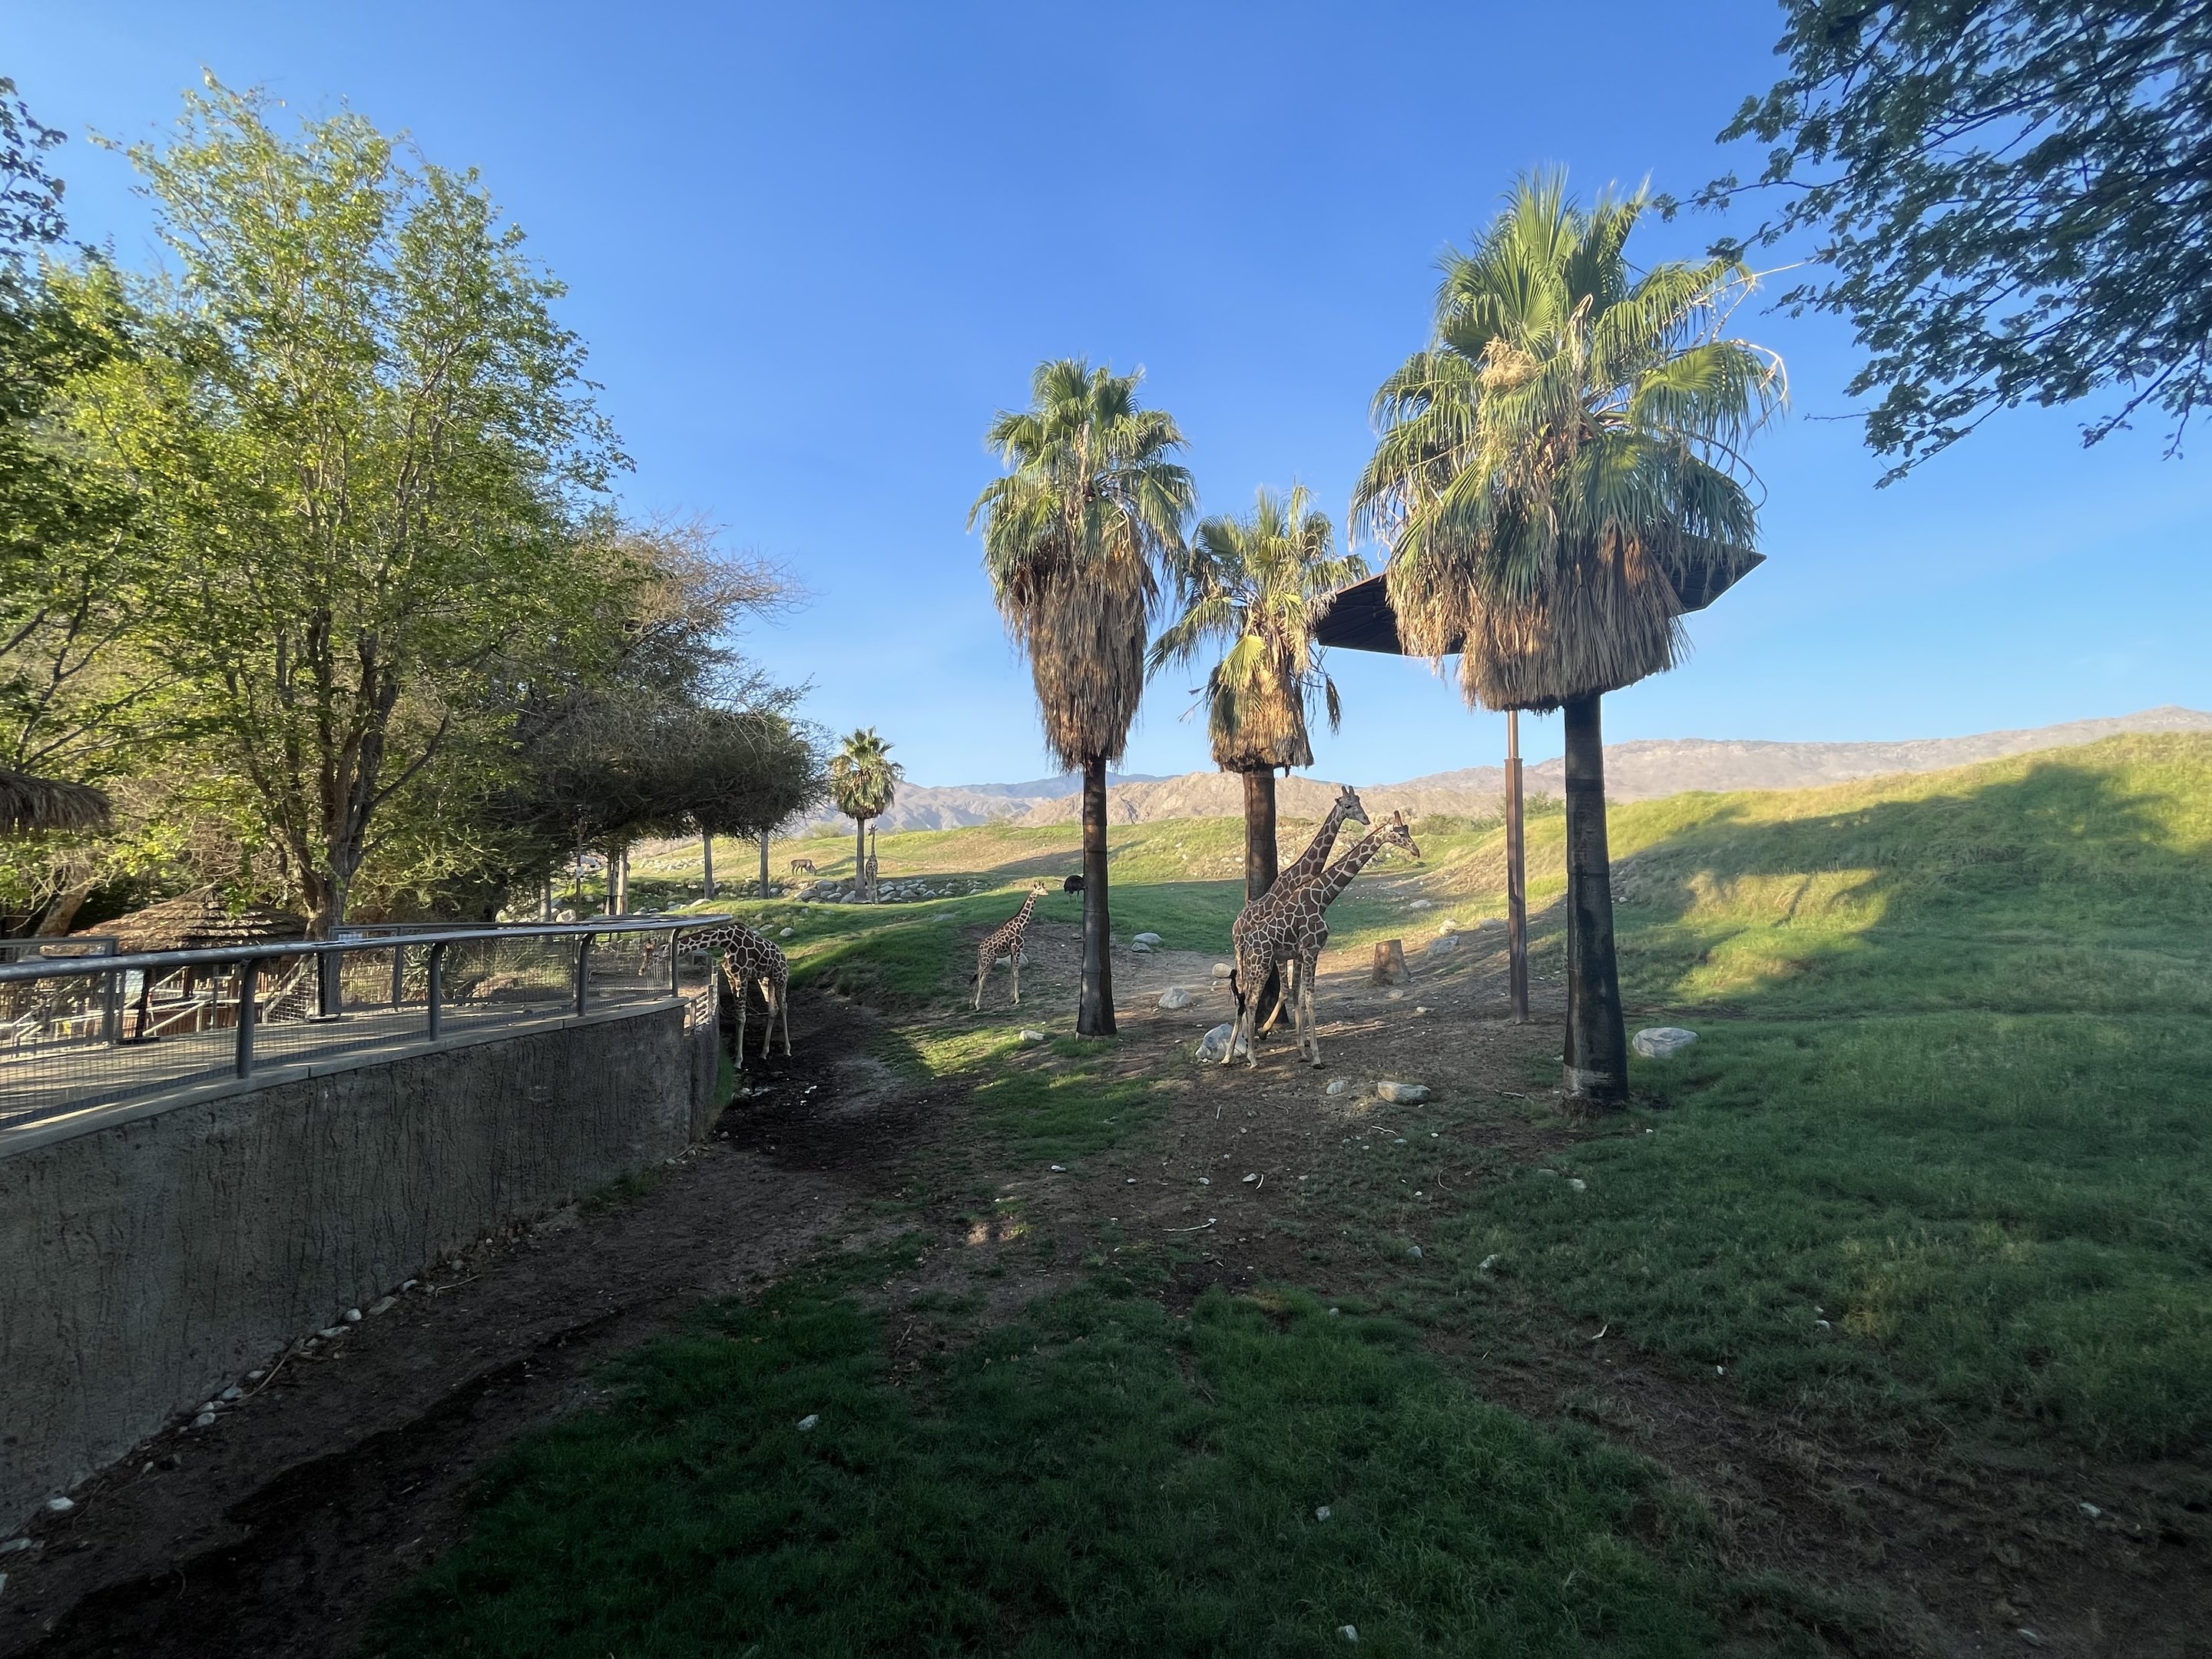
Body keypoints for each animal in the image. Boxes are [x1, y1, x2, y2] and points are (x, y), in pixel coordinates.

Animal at [680, 918, 790, 1059]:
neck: (726, 942)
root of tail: (784, 956)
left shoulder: (742, 977)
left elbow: (742, 1017)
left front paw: (738, 1059)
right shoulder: (731, 978)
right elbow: (737, 1015)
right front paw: (737, 1051)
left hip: (780, 978)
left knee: (784, 1006)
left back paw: (787, 1050)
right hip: (765, 979)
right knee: (773, 1009)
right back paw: (764, 1052)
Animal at [973, 882, 1048, 1009]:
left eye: (1044, 887)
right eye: (1039, 889)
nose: (1047, 893)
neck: (1021, 926)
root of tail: (980, 949)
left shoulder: (1012, 952)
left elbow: (1012, 974)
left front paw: (1012, 998)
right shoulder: (1017, 949)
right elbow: (1016, 974)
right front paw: (1017, 999)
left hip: (982, 961)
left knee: (977, 977)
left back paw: (971, 1004)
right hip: (990, 961)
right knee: (982, 979)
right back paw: (977, 1005)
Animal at [1228, 810, 1421, 1069]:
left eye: (1408, 830)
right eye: (1400, 834)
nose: (1416, 850)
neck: (1322, 898)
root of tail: (1246, 940)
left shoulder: (1302, 953)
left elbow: (1299, 996)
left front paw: (1303, 1051)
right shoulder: (1311, 950)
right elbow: (1309, 998)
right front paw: (1317, 1058)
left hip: (1253, 965)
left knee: (1243, 998)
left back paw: (1234, 1053)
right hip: (1262, 964)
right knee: (1250, 1001)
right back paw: (1251, 1057)